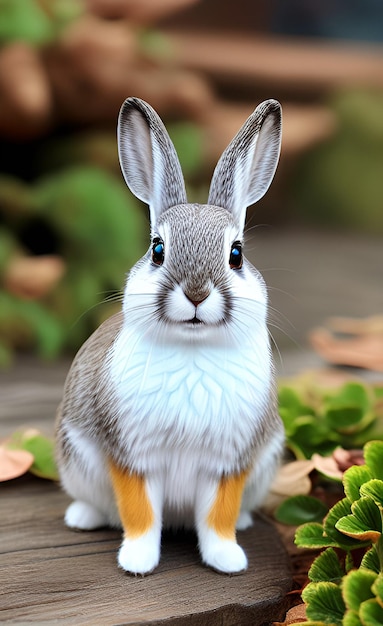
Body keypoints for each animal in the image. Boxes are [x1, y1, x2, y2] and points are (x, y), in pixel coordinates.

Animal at [56, 96, 284, 576]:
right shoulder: (133, 458)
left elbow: (218, 517)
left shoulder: (228, 465)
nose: (196, 293)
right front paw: (137, 562)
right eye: (157, 250)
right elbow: (140, 513)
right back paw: (82, 517)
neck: (192, 349)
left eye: (236, 255)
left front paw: (228, 561)